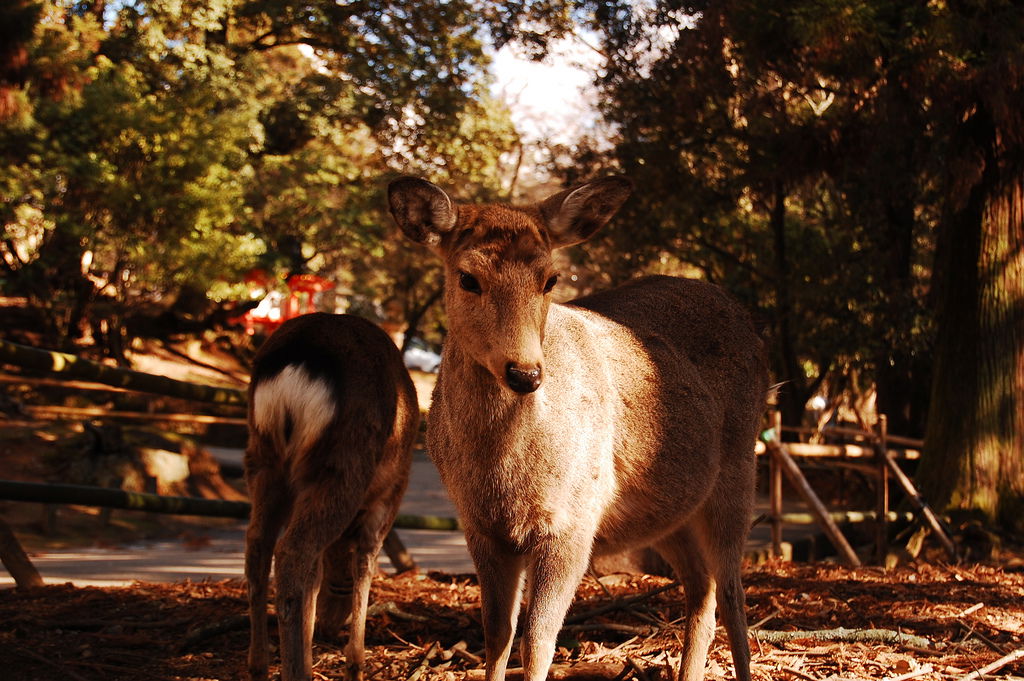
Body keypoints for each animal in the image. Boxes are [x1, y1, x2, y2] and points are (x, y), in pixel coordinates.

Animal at [244, 313, 419, 679]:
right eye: (340, 584)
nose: (328, 626)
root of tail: (301, 358)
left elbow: (313, 574)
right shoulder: (389, 498)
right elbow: (367, 560)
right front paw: (356, 662)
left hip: (263, 457)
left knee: (258, 543)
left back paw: (259, 665)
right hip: (342, 463)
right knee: (293, 551)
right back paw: (299, 671)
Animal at [389, 176, 770, 679]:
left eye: (550, 280)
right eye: (467, 278)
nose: (525, 373)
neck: (502, 475)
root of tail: (747, 319)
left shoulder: (574, 520)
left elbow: (539, 639)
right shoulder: (479, 526)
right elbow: (496, 633)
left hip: (739, 468)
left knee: (732, 594)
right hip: (668, 515)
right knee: (701, 590)